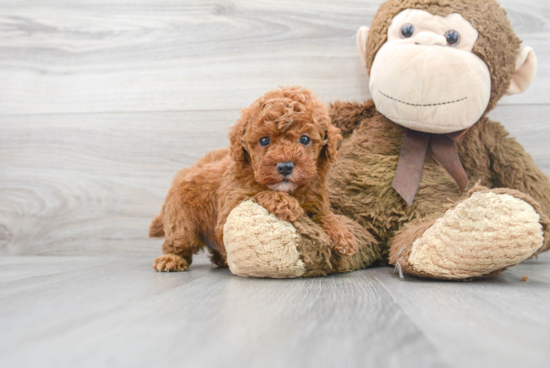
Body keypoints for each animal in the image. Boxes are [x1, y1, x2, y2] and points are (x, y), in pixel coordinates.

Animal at [151, 85, 358, 270]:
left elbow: (326, 216)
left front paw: (342, 234)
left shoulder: (317, 203)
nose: (285, 166)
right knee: (178, 242)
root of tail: (185, 172)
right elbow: (257, 193)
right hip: (181, 220)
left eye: (305, 139)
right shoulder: (230, 206)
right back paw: (171, 259)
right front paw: (284, 202)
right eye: (264, 140)